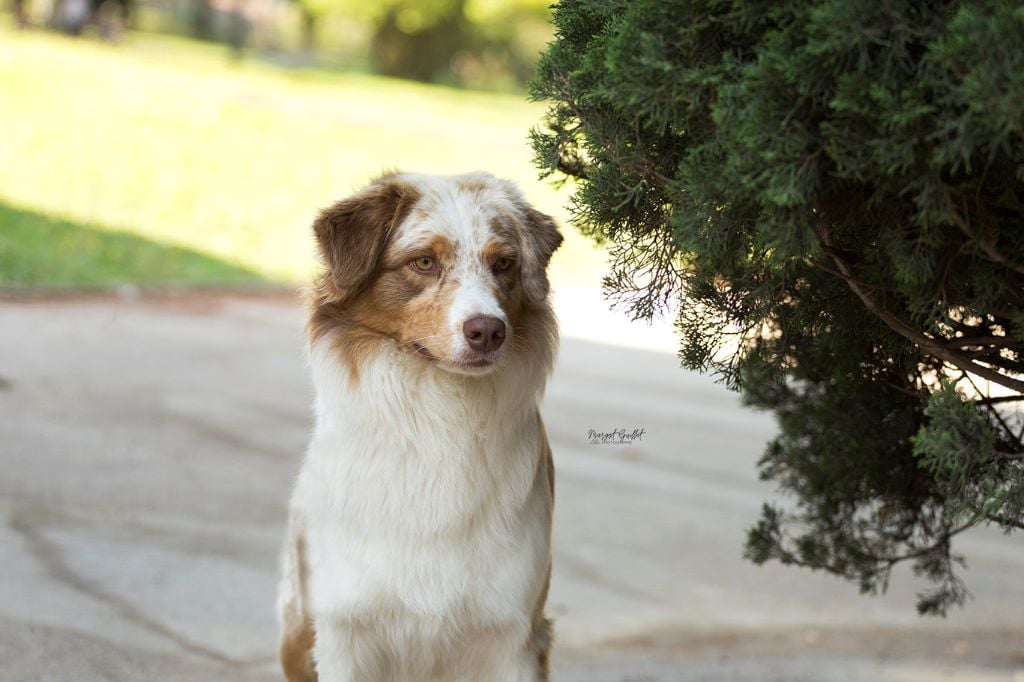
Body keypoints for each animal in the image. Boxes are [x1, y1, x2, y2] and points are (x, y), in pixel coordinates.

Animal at [278, 171, 561, 679]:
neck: (440, 419)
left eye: (504, 264)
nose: (488, 331)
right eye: (424, 262)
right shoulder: (343, 629)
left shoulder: (515, 636)